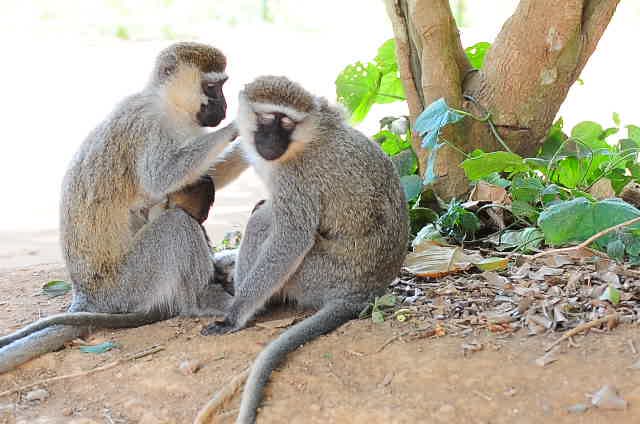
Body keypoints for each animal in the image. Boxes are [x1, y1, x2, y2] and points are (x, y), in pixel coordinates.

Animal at [0, 42, 246, 373]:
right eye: (212, 87)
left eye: (222, 86)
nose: (224, 106)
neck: (169, 106)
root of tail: (88, 295)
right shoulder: (149, 127)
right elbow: (161, 178)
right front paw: (242, 124)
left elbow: (198, 179)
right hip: (131, 282)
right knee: (175, 225)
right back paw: (204, 298)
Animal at [200, 76, 409, 423]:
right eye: (266, 118)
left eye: (286, 122)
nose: (271, 141)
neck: (303, 140)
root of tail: (363, 292)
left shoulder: (295, 178)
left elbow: (292, 236)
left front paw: (235, 315)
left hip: (317, 274)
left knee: (264, 219)